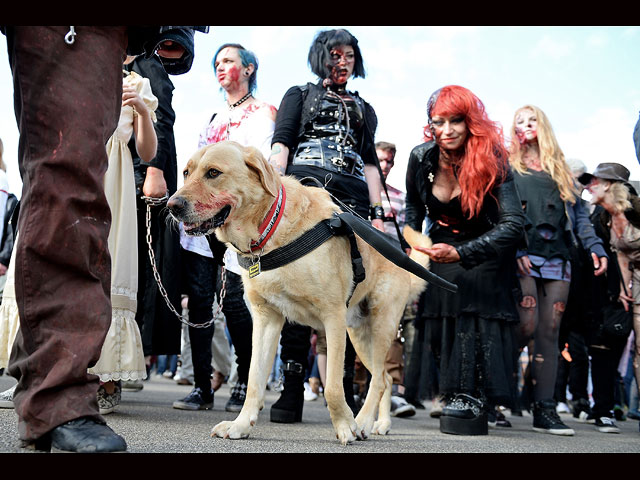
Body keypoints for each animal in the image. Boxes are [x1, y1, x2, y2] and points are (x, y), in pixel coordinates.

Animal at [165, 141, 436, 444]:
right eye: (186, 173)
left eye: (213, 172)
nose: (172, 205)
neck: (269, 230)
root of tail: (399, 251)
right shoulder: (266, 319)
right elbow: (254, 380)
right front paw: (241, 425)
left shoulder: (332, 317)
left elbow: (333, 387)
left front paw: (346, 427)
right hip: (359, 333)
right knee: (386, 379)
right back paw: (382, 422)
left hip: (380, 327)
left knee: (377, 380)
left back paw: (364, 422)